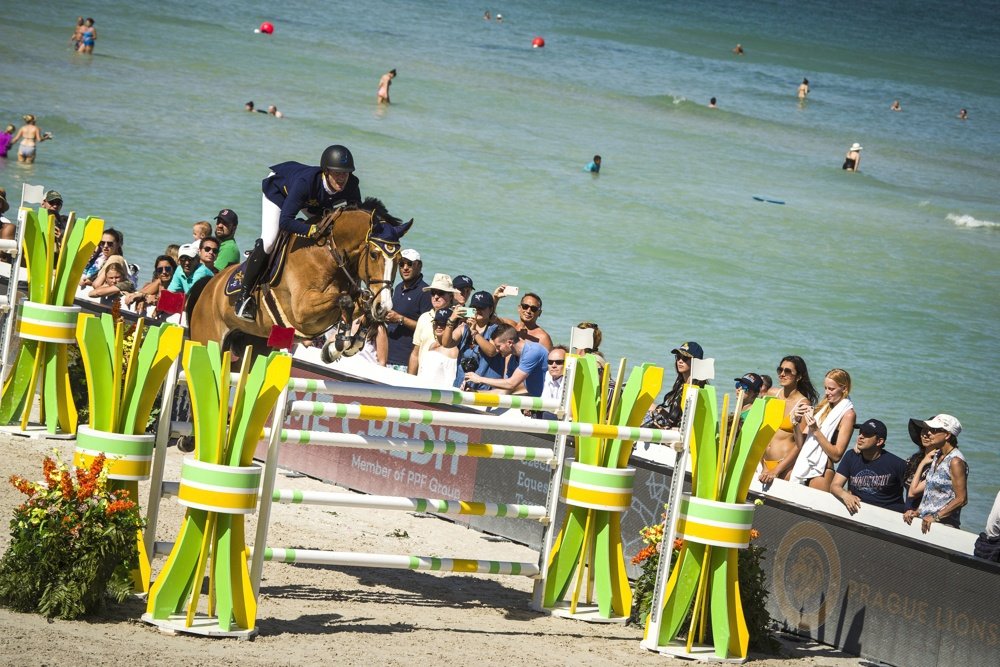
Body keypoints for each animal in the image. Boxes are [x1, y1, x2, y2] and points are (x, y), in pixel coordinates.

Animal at [188, 198, 410, 366]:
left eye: (400, 260)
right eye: (374, 254)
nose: (384, 306)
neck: (329, 254)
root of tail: (209, 284)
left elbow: (362, 308)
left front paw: (342, 345)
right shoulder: (302, 311)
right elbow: (345, 300)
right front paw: (338, 346)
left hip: (254, 346)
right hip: (208, 339)